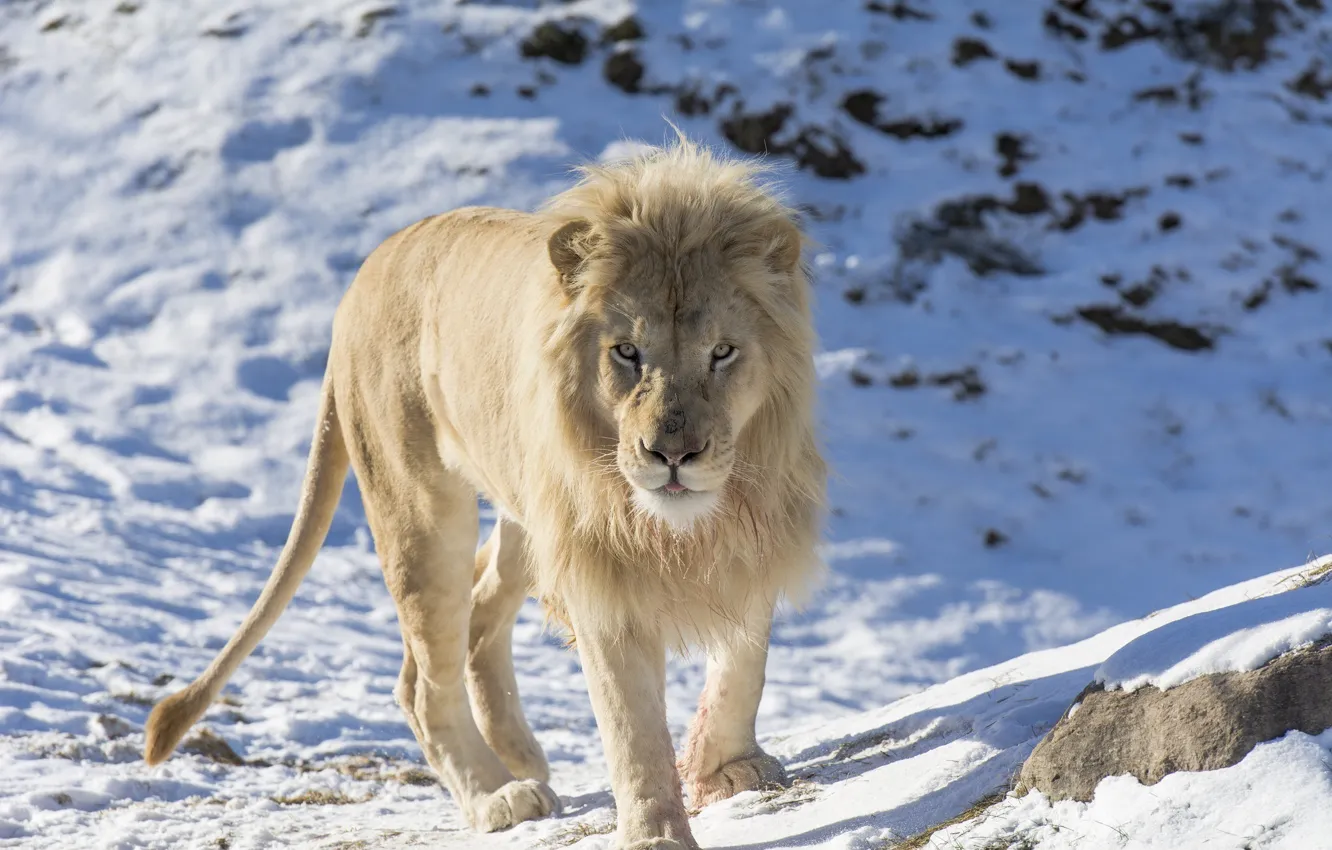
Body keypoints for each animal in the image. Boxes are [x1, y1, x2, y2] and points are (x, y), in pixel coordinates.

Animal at [143, 136, 820, 847]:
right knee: (424, 678)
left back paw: (520, 755)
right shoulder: (601, 576)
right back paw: (498, 794)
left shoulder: (758, 533)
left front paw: (728, 769)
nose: (672, 455)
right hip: (421, 511)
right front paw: (656, 833)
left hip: (525, 518)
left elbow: (744, 664)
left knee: (474, 620)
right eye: (627, 352)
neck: (687, 522)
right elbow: (632, 727)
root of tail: (359, 281)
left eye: (722, 352)